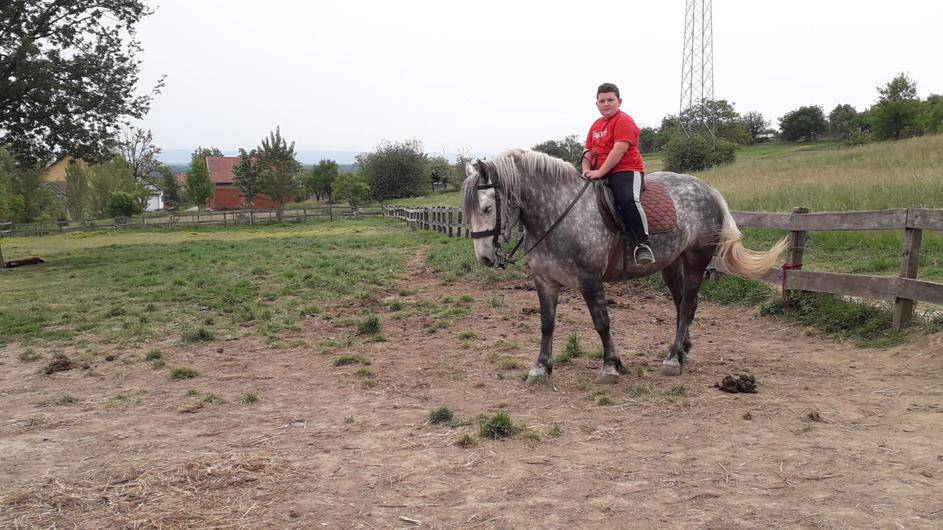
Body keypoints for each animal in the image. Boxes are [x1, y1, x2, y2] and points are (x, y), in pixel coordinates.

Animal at [460, 148, 784, 384]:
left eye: (487, 208)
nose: (485, 258)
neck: (558, 212)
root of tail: (708, 189)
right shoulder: (545, 281)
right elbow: (546, 324)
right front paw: (541, 367)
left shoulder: (590, 279)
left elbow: (602, 322)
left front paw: (610, 367)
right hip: (672, 264)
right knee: (681, 304)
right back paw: (681, 351)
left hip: (695, 260)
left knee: (689, 304)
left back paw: (672, 359)